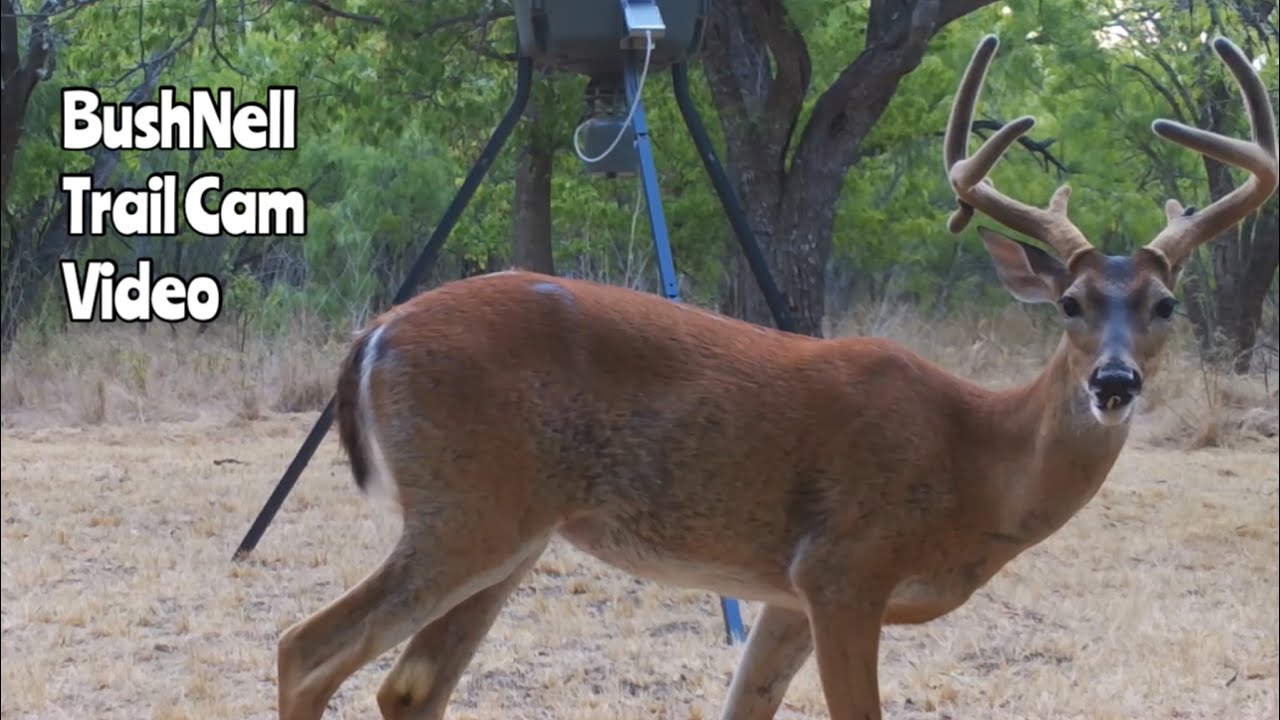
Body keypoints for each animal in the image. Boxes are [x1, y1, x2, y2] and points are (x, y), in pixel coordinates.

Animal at [275, 35, 1278, 720]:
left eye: (1165, 304)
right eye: (1070, 303)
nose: (1114, 383)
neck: (975, 465)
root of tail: (374, 334)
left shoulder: (784, 596)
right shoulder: (844, 566)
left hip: (511, 531)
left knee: (408, 685)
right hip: (469, 510)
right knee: (304, 647)